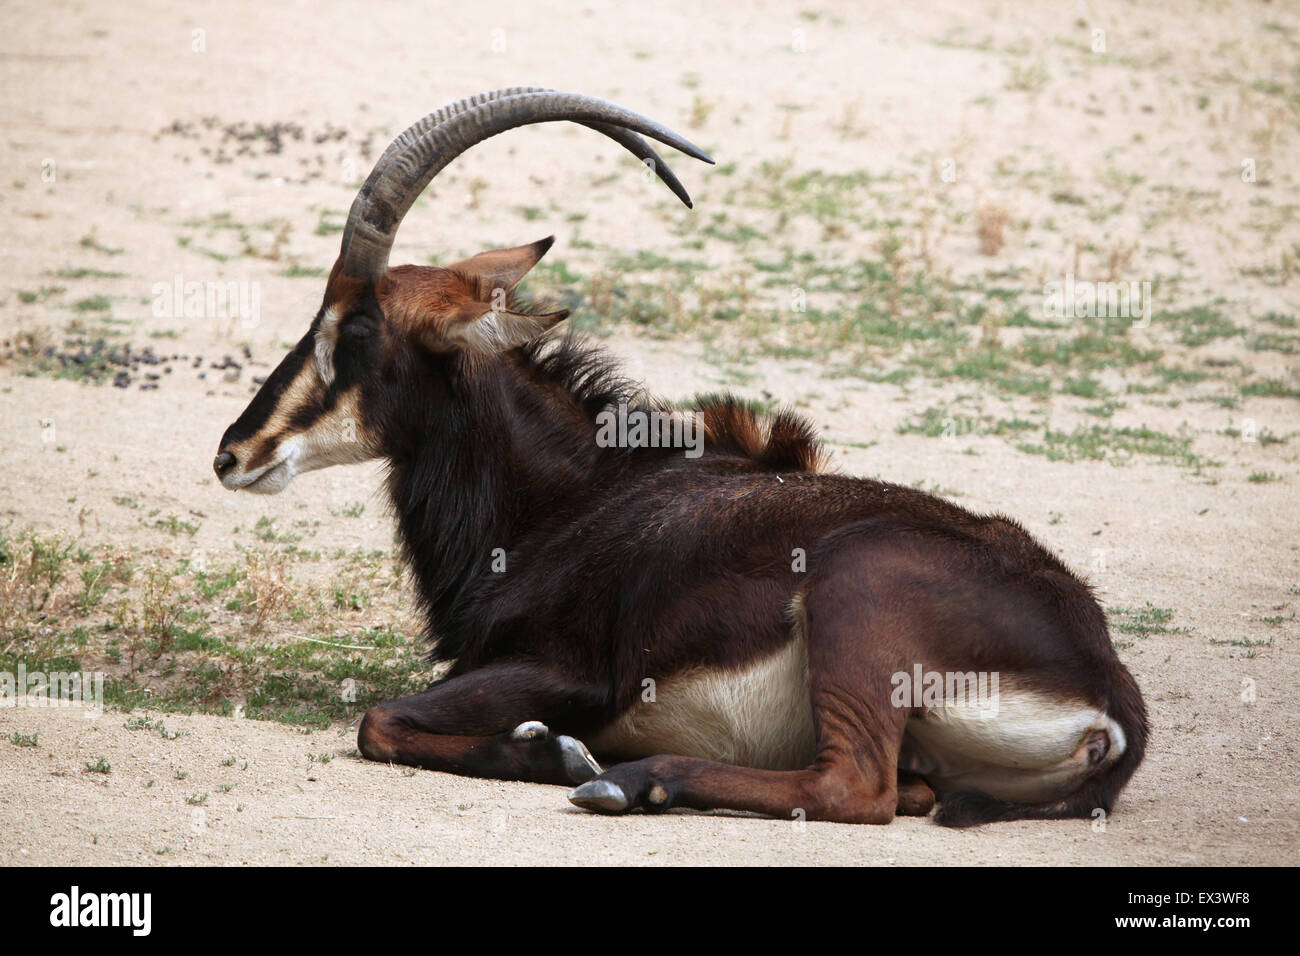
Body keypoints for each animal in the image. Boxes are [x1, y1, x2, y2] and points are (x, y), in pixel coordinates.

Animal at [213, 85, 1149, 827]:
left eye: (355, 332)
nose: (233, 452)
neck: (574, 499)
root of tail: (1110, 692)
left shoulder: (568, 672)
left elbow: (378, 720)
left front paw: (560, 754)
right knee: (905, 788)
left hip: (856, 591)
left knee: (856, 790)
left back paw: (633, 780)